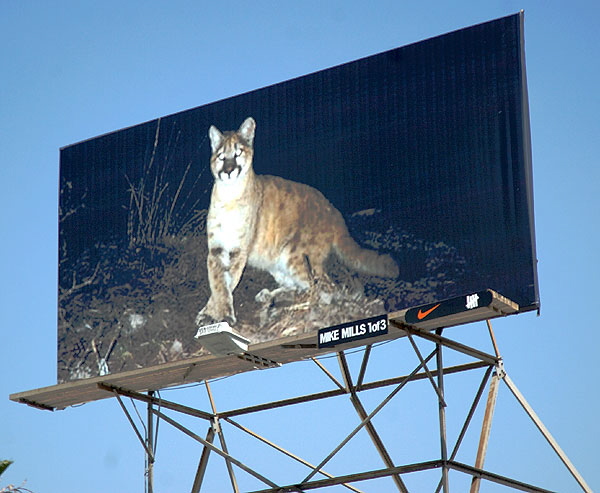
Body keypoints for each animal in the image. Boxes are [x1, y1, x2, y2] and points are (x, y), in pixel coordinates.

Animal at [197, 114, 398, 322]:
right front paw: (209, 313)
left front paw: (222, 316)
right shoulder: (217, 249)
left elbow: (228, 283)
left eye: (238, 153)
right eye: (221, 156)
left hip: (294, 255)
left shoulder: (239, 250)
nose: (228, 171)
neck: (229, 195)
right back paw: (269, 295)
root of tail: (334, 210)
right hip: (276, 261)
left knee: (323, 287)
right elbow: (218, 284)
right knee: (300, 285)